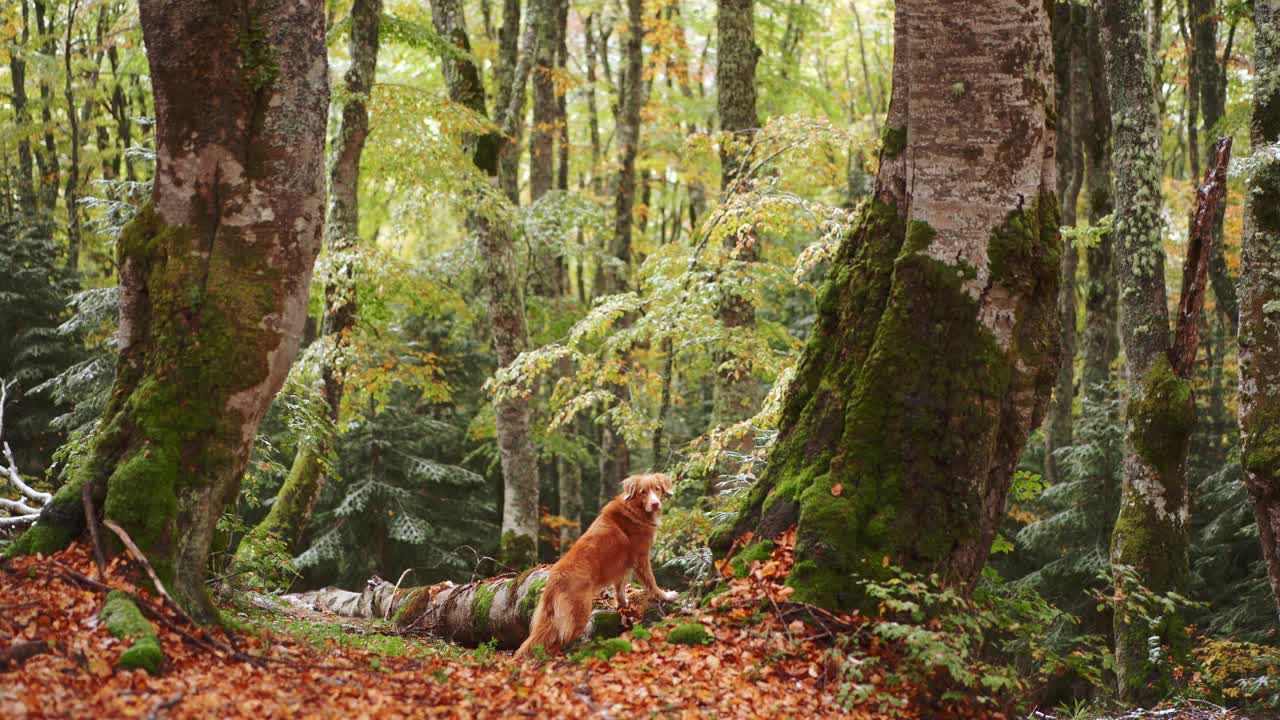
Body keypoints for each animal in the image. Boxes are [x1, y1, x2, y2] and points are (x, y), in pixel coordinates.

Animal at [514, 471, 680, 655]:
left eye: (657, 489)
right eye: (643, 492)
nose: (655, 503)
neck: (633, 510)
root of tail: (554, 579)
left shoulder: (621, 565)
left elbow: (620, 586)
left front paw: (623, 604)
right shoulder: (641, 558)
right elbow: (651, 581)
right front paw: (665, 595)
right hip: (578, 615)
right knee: (556, 642)